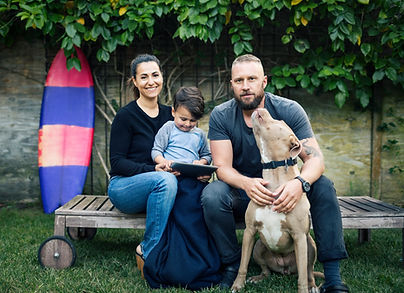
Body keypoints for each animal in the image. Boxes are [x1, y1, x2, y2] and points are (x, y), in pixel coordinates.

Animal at [232, 108, 320, 292]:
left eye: (279, 121)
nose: (261, 108)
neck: (274, 178)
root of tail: (285, 268)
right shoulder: (249, 231)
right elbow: (242, 264)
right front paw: (237, 285)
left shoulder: (299, 236)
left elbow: (302, 276)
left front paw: (304, 289)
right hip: (258, 247)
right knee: (266, 269)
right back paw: (258, 278)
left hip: (310, 245)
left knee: (308, 271)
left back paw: (313, 286)